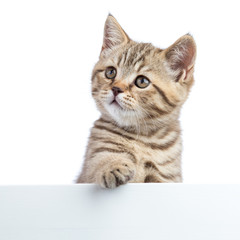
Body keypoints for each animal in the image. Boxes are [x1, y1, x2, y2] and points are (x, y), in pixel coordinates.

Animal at [76, 14, 196, 188]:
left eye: (142, 82)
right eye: (110, 72)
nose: (116, 89)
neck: (143, 138)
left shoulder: (167, 177)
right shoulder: (91, 164)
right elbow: (101, 162)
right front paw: (113, 166)